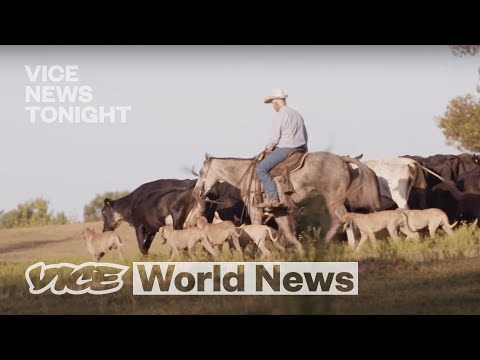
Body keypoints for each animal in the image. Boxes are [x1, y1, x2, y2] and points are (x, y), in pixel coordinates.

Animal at [193, 150, 380, 252]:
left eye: (201, 172)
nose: (196, 193)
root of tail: (342, 159)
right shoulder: (279, 211)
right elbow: (288, 233)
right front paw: (297, 251)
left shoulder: (254, 209)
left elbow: (256, 229)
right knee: (345, 219)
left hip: (333, 201)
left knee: (340, 219)